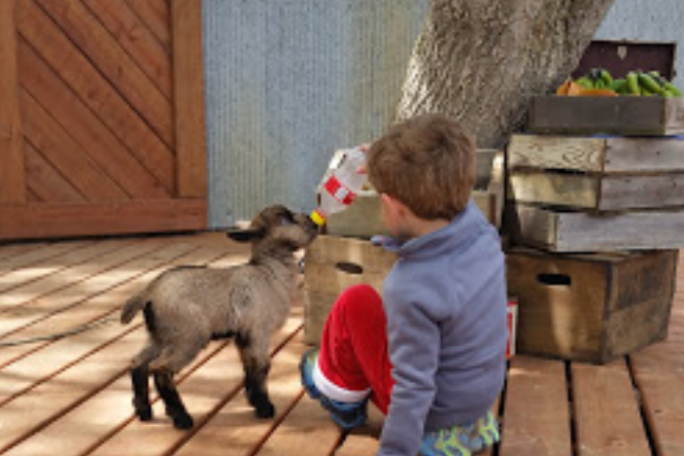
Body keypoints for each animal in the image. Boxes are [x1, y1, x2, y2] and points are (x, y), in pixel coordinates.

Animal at [120, 205, 318, 430]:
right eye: (285, 219)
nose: (314, 223)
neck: (268, 272)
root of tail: (150, 291)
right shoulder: (259, 330)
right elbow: (262, 366)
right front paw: (265, 408)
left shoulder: (244, 334)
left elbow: (249, 367)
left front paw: (255, 401)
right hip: (188, 335)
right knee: (160, 369)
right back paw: (181, 417)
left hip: (161, 335)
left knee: (138, 363)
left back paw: (144, 411)